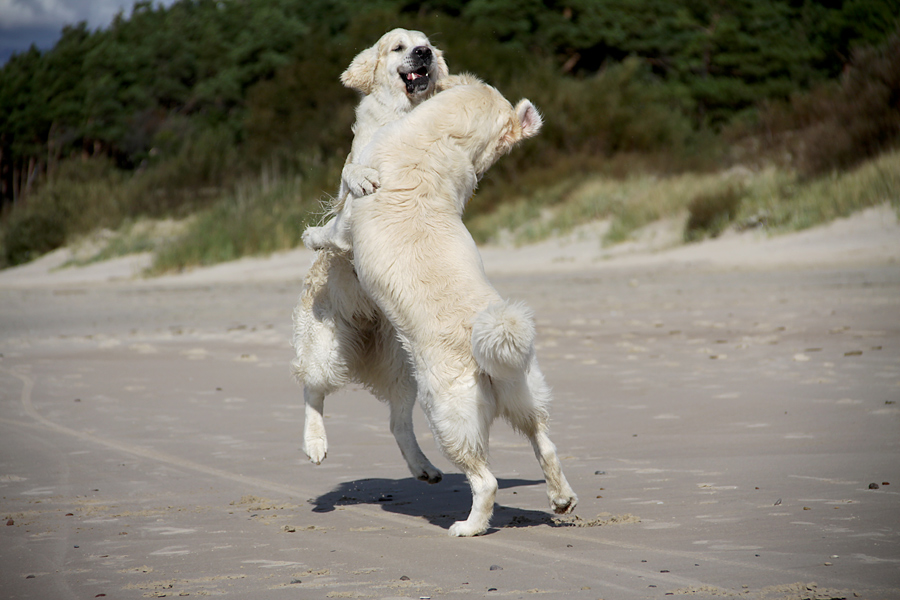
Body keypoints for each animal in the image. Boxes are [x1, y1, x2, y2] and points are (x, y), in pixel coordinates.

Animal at [292, 29, 448, 486]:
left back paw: (424, 466)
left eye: (426, 43)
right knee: (311, 390)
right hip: (327, 350)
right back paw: (315, 444)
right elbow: (350, 174)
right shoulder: (346, 197)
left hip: (404, 366)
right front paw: (362, 177)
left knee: (398, 422)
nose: (424, 53)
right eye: (399, 47)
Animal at [347, 77, 578, 536]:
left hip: (447, 415)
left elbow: (329, 231)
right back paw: (561, 499)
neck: (439, 140)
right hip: (525, 393)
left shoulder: (347, 222)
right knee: (544, 443)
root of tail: (490, 347)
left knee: (485, 480)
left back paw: (468, 527)